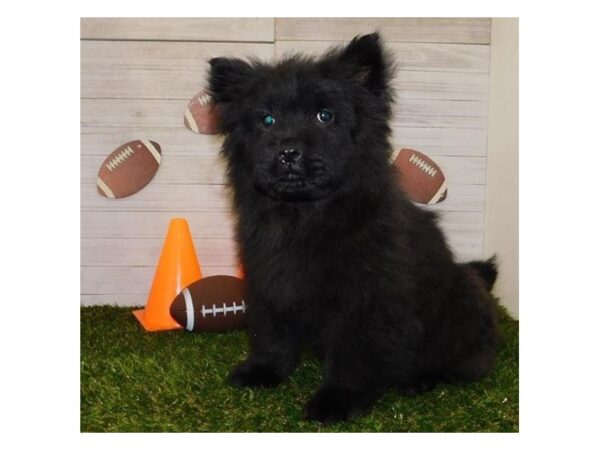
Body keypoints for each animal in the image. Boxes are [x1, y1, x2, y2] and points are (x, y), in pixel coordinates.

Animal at [209, 33, 500, 424]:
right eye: (267, 120)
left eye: (325, 115)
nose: (288, 151)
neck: (304, 217)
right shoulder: (269, 282)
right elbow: (272, 336)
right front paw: (263, 371)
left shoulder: (366, 300)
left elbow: (353, 356)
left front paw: (337, 400)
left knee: (459, 362)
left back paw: (417, 380)